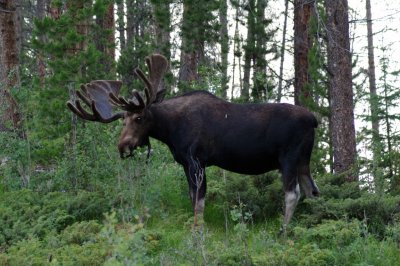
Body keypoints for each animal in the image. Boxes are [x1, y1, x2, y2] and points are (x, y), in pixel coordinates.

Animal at [68, 53, 318, 230]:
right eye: (123, 120)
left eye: (139, 118)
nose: (123, 146)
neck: (170, 130)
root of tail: (314, 120)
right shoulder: (186, 163)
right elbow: (191, 199)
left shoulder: (197, 160)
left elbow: (199, 202)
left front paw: (198, 233)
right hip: (303, 160)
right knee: (312, 191)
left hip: (289, 157)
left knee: (293, 193)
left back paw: (283, 231)